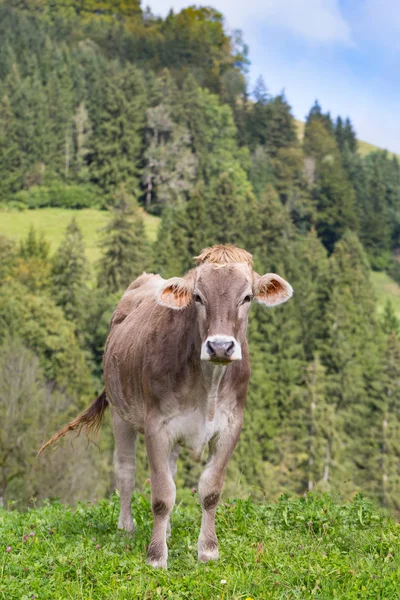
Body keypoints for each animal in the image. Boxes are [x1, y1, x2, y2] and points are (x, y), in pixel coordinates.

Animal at [39, 243, 292, 568]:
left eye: (247, 297)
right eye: (198, 297)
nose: (220, 346)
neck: (208, 384)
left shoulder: (231, 426)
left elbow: (210, 490)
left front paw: (208, 550)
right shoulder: (156, 426)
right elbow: (161, 495)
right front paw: (156, 555)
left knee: (170, 470)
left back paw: (168, 530)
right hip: (120, 412)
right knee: (126, 470)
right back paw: (126, 526)